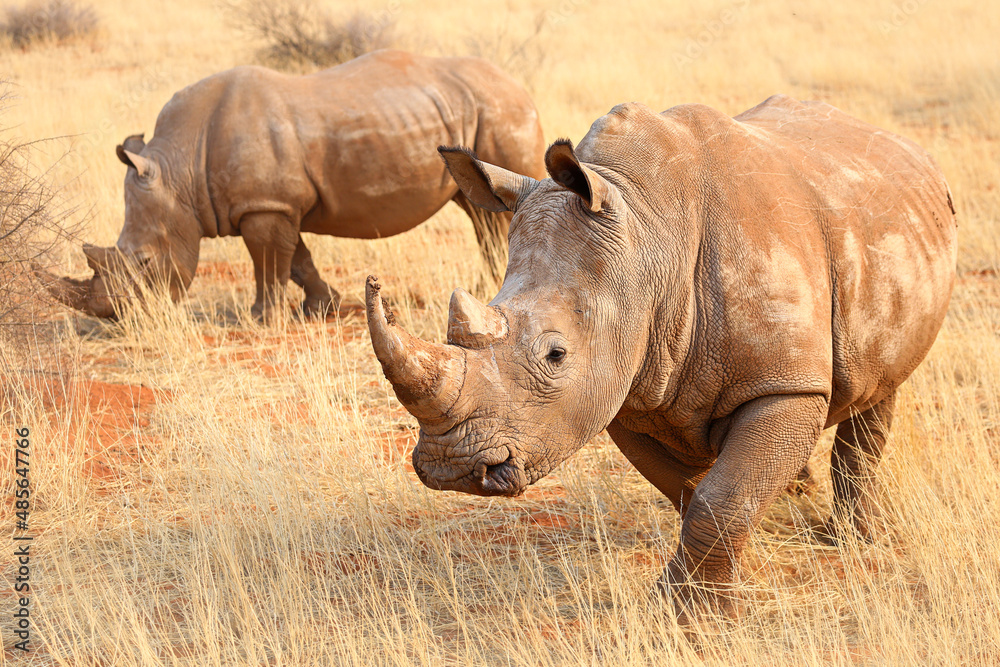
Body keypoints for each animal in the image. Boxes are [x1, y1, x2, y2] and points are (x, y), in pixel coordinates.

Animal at [37, 50, 545, 320]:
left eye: (144, 262)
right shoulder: (273, 203)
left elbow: (267, 261)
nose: (122, 320)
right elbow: (296, 258)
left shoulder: (265, 205)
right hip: (475, 114)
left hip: (501, 111)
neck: (179, 169)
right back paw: (483, 286)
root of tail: (519, 85)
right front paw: (323, 307)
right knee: (478, 208)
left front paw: (262, 318)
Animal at [366, 95, 957, 617]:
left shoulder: (785, 382)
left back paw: (854, 541)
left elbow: (722, 499)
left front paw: (696, 616)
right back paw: (800, 493)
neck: (648, 233)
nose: (452, 467)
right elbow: (694, 493)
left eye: (556, 354)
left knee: (878, 388)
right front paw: (708, 586)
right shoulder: (623, 390)